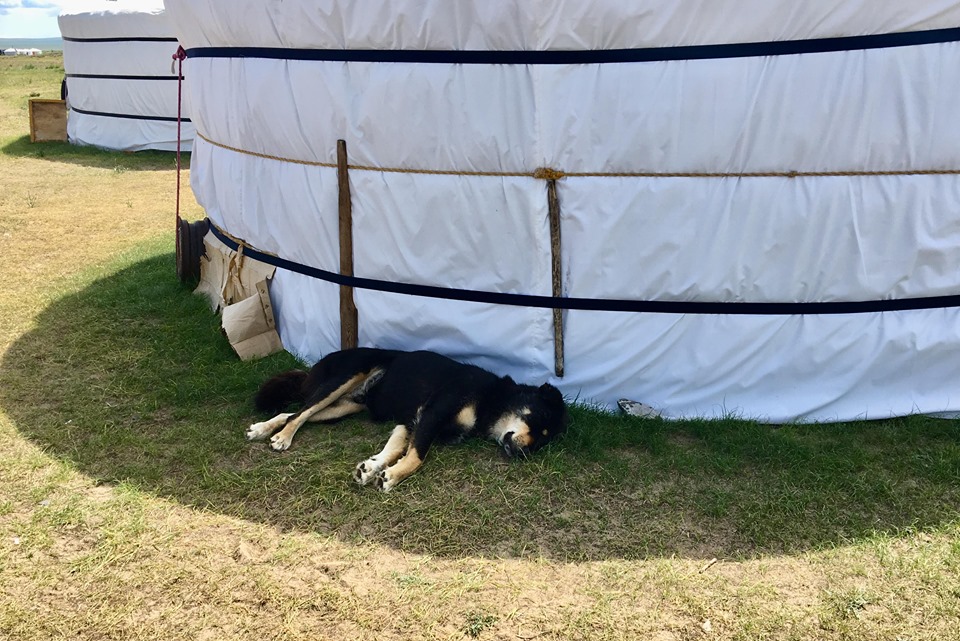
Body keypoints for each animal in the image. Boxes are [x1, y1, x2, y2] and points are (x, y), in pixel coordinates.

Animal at [244, 350, 568, 490]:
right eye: (539, 420)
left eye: (543, 441)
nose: (525, 452)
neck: (491, 398)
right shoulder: (432, 413)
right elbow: (416, 458)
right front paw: (392, 476)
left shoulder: (413, 422)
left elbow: (395, 450)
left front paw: (372, 468)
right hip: (344, 379)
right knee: (301, 412)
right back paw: (281, 436)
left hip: (345, 407)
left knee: (296, 412)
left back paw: (264, 429)